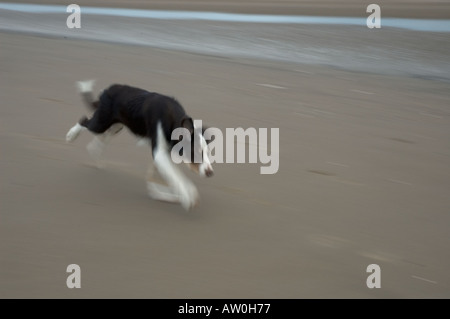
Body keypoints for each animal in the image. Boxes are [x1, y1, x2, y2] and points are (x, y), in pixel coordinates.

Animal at [65, 80, 214, 210]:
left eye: (208, 153)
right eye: (196, 153)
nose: (210, 173)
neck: (173, 121)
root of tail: (107, 90)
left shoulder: (163, 153)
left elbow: (161, 176)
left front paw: (161, 194)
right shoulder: (159, 153)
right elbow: (176, 177)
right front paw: (188, 197)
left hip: (116, 126)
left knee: (100, 140)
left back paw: (95, 156)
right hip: (101, 122)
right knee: (84, 121)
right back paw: (71, 135)